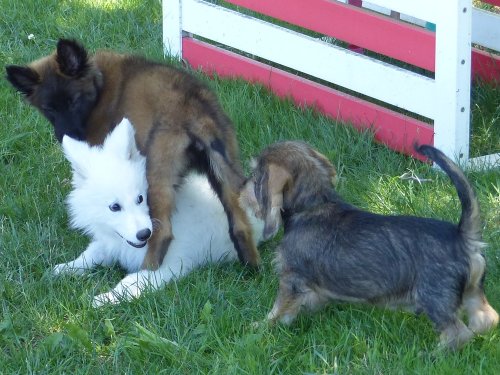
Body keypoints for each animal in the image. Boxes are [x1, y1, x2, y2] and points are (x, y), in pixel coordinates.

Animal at [5, 39, 262, 270]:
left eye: (74, 101)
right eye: (49, 109)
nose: (66, 136)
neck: (100, 85)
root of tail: (195, 110)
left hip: (156, 174)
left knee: (163, 232)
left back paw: (147, 269)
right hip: (226, 169)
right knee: (241, 223)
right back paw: (251, 267)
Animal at [53, 119, 266, 308]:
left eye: (140, 198)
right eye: (114, 207)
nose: (144, 234)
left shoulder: (164, 267)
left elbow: (128, 283)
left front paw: (101, 299)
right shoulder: (111, 243)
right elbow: (91, 253)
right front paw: (65, 268)